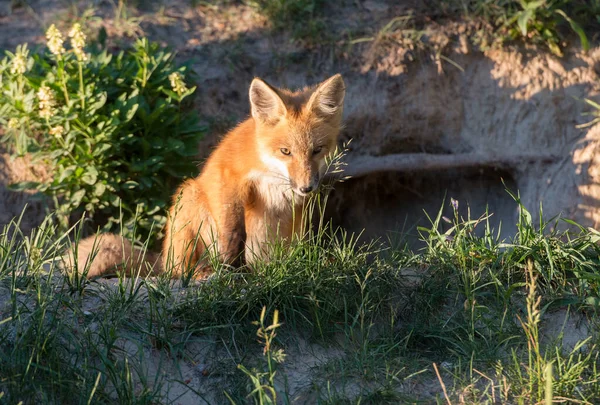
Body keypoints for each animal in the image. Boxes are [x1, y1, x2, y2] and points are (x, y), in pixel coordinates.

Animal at [65, 73, 344, 278]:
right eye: (286, 151)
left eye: (317, 150)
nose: (307, 187)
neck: (270, 170)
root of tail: (163, 261)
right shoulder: (229, 178)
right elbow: (234, 232)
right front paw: (233, 269)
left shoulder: (295, 207)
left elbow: (295, 241)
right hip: (189, 197)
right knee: (178, 272)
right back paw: (202, 272)